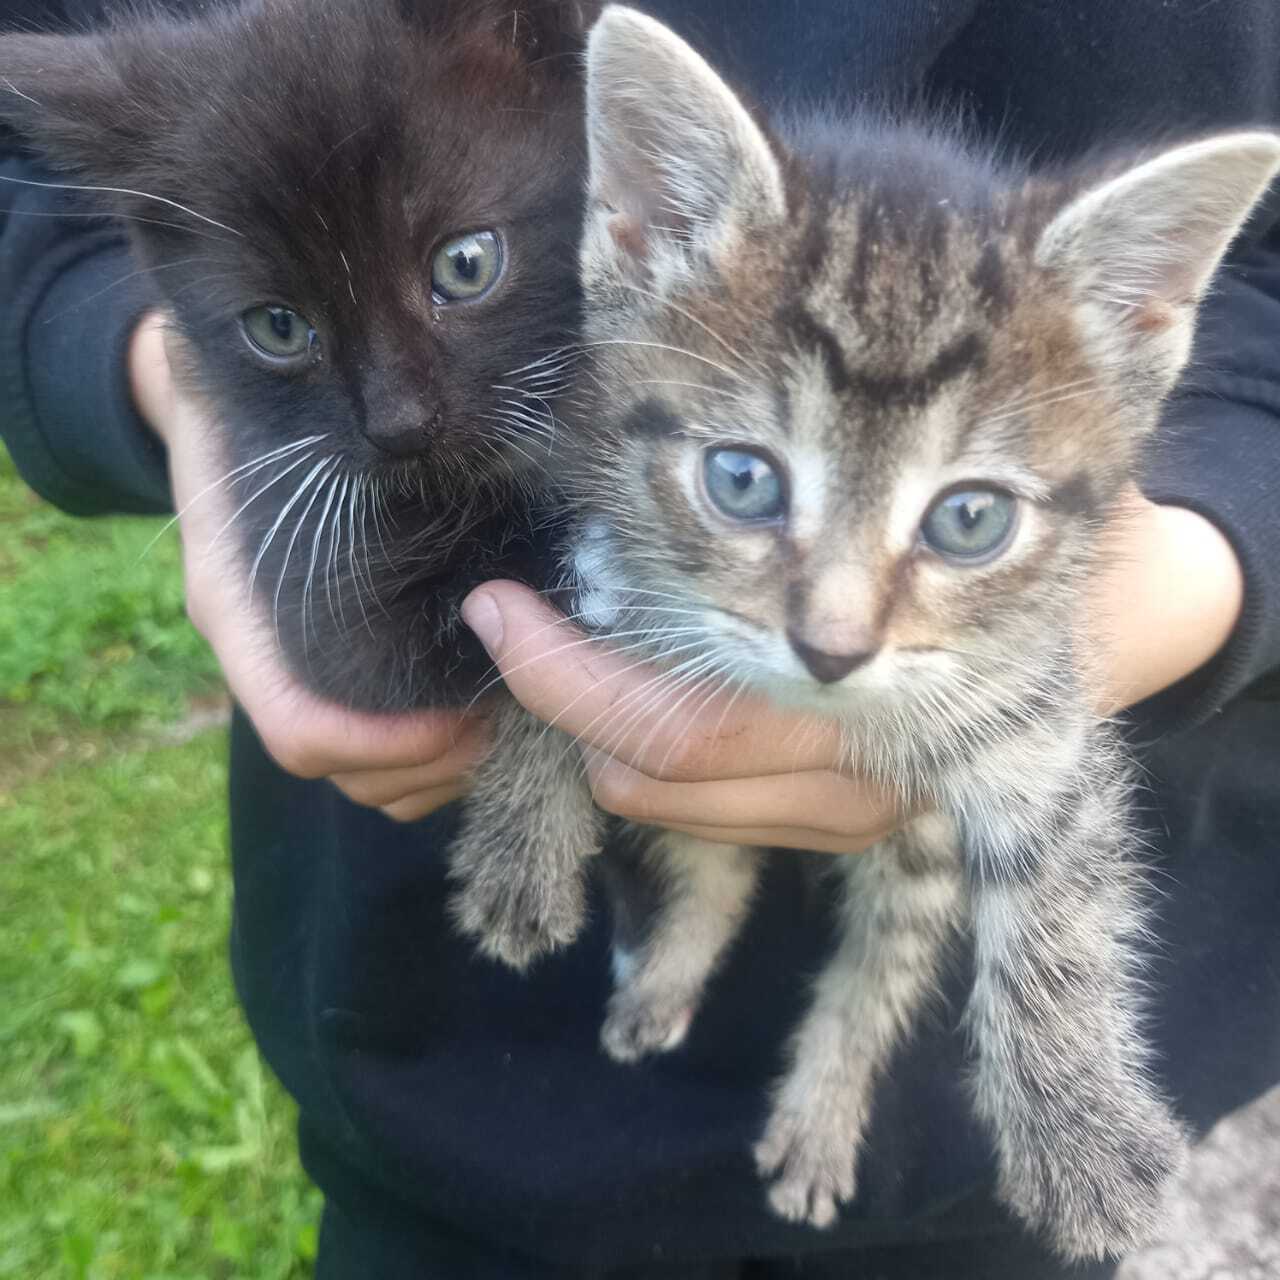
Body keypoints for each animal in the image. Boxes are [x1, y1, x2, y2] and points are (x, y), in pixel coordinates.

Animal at [450, 2, 1280, 1259]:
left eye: (968, 518)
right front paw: (520, 829)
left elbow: (1058, 911)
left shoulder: (1035, 707)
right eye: (741, 479)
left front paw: (1080, 1126)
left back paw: (822, 1104)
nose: (830, 649)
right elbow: (548, 656)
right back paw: (667, 969)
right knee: (721, 862)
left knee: (885, 947)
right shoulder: (591, 522)